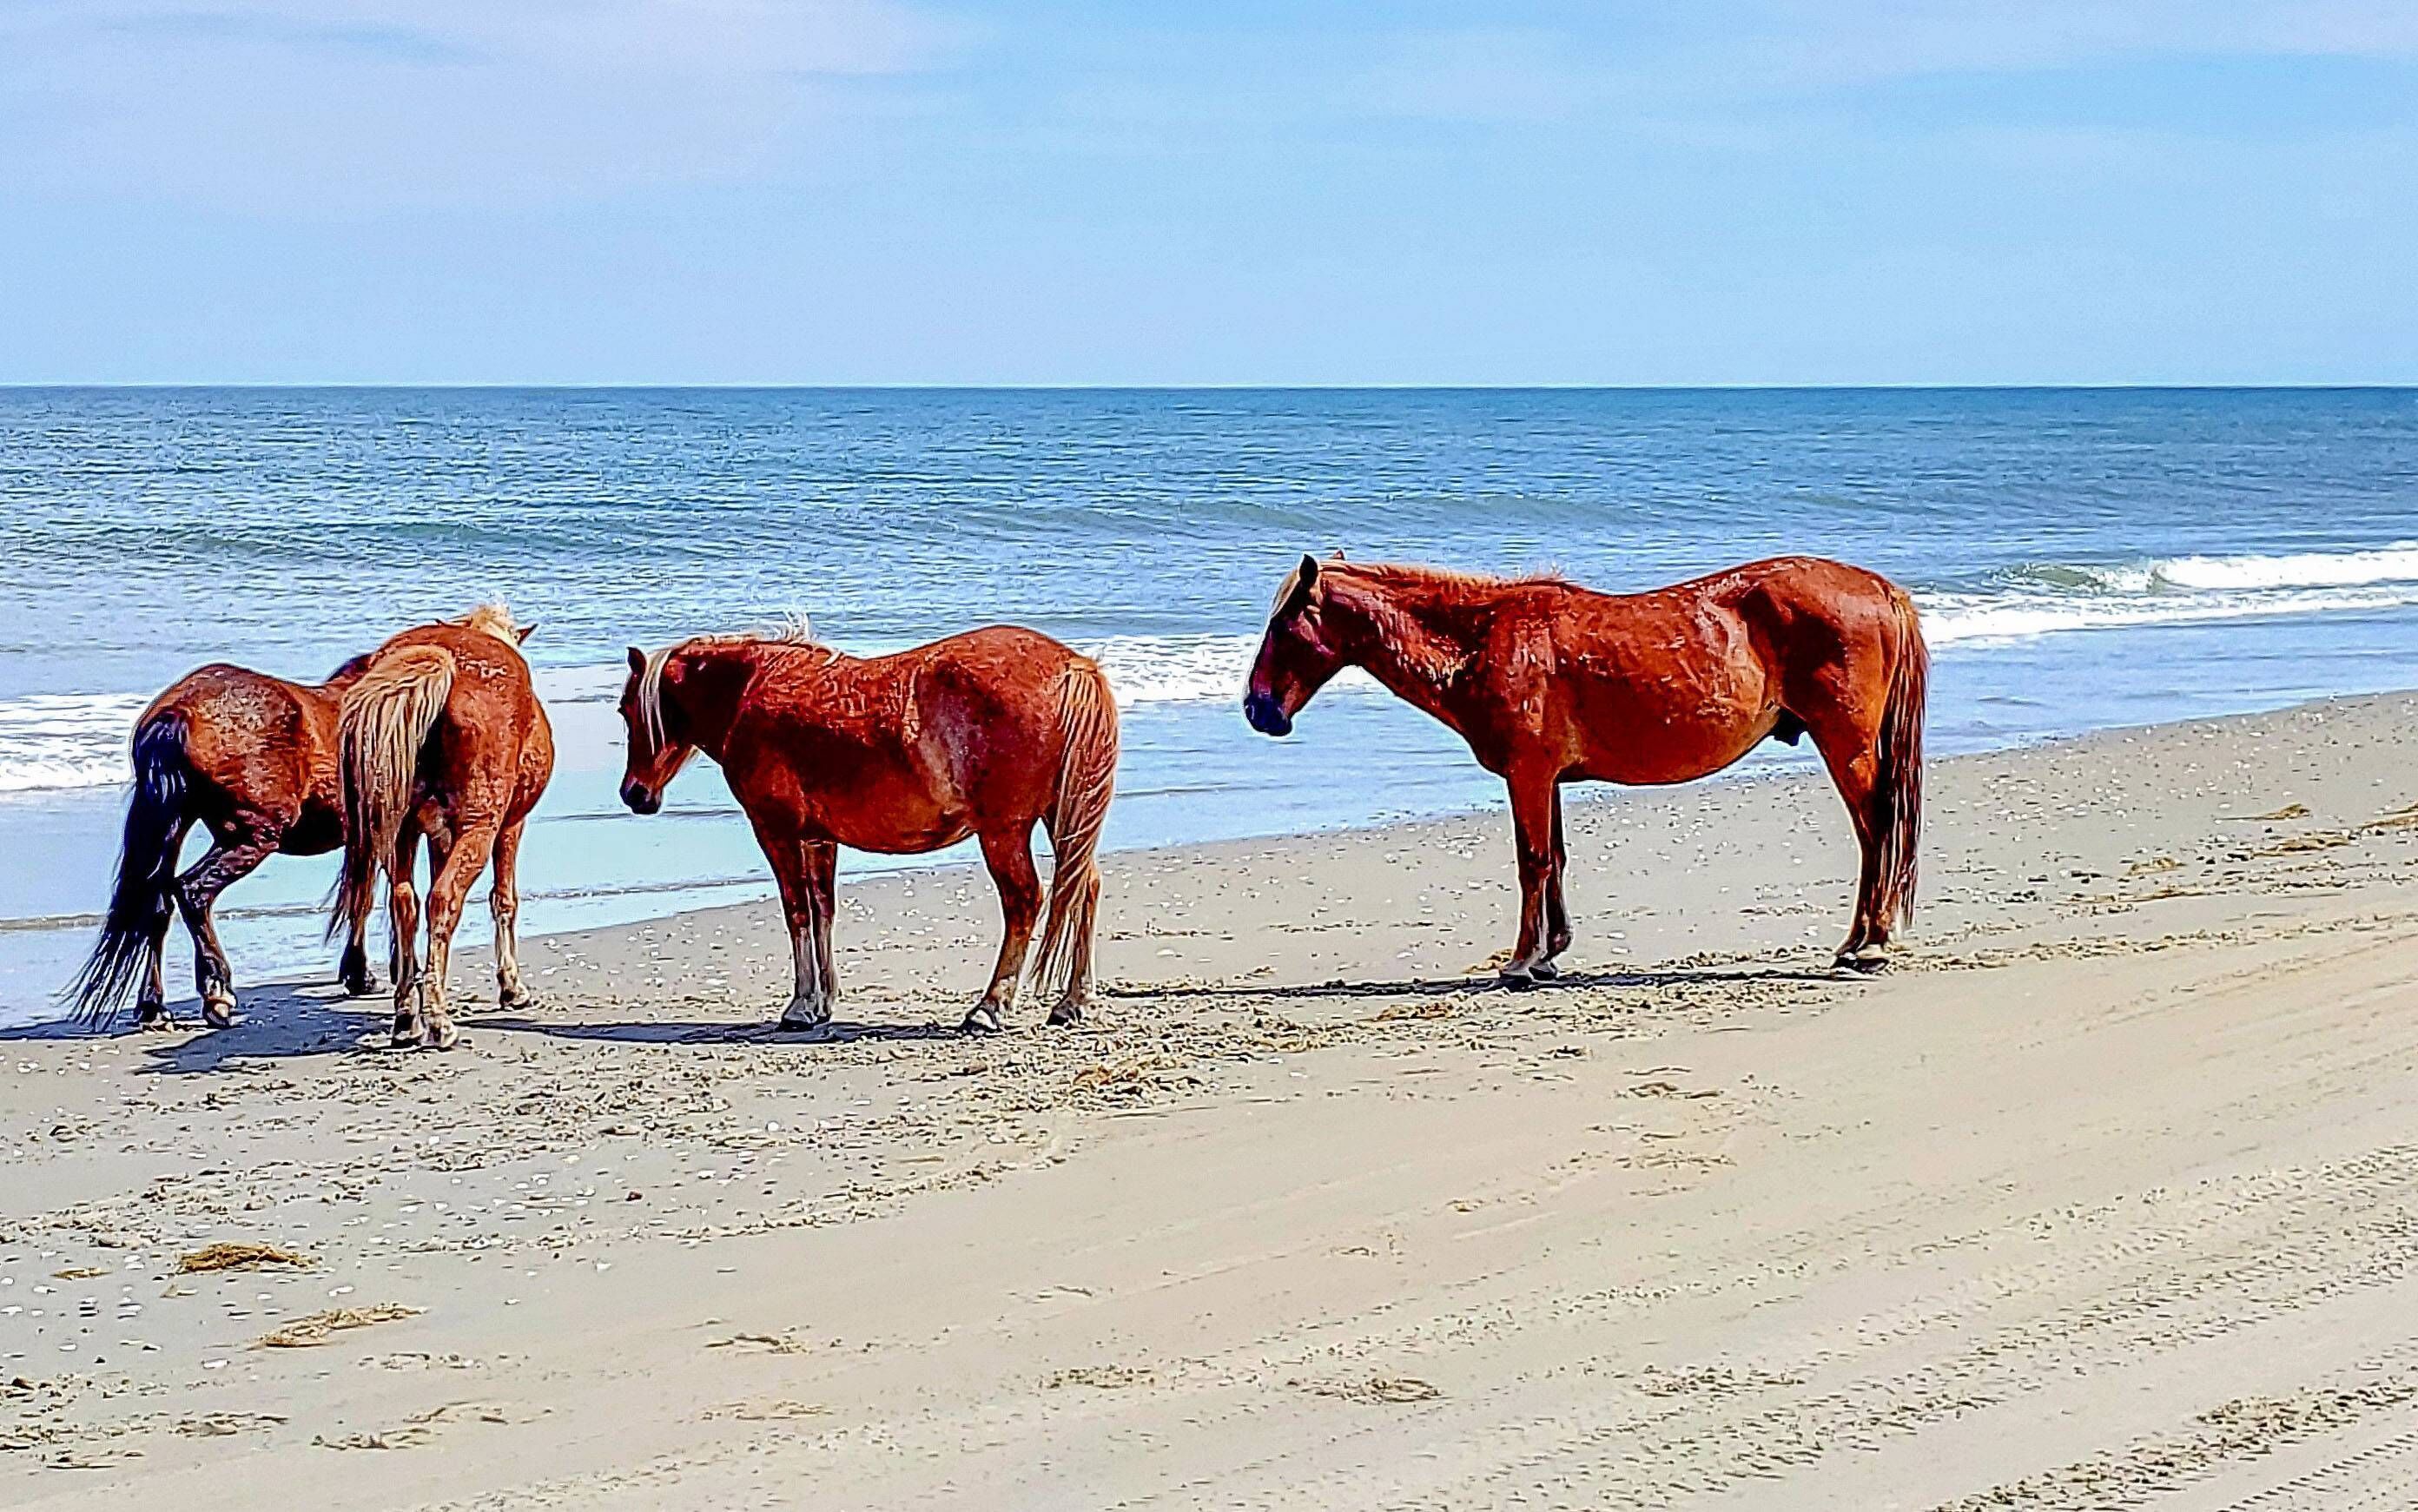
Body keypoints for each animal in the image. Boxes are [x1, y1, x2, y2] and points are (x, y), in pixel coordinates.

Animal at [65, 653, 382, 1030]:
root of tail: (178, 711)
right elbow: (361, 899)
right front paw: (359, 975)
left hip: (176, 828)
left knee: (157, 905)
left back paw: (153, 1006)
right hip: (253, 836)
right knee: (192, 892)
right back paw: (216, 992)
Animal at [327, 605, 552, 1049]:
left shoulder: (435, 836)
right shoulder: (510, 827)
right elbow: (504, 900)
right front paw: (511, 986)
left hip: (398, 834)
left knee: (406, 904)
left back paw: (405, 1018)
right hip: (479, 830)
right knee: (442, 901)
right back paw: (437, 1020)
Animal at [616, 622, 1119, 1034]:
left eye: (626, 710)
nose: (634, 794)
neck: (752, 689)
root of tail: (1074, 666)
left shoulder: (776, 832)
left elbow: (797, 912)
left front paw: (800, 1006)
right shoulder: (818, 838)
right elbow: (823, 910)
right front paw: (823, 1002)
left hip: (1004, 832)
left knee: (1024, 901)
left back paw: (989, 1007)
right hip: (1063, 817)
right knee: (1084, 887)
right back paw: (1074, 1001)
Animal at [1243, 554, 1927, 981]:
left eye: (1282, 623)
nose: (1257, 708)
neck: (1483, 640)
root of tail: (1880, 589)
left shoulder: (1526, 774)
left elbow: (1532, 863)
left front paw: (1520, 963)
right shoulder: (1545, 779)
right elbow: (1556, 861)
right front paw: (1550, 954)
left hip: (1847, 746)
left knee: (1877, 832)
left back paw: (1869, 943)